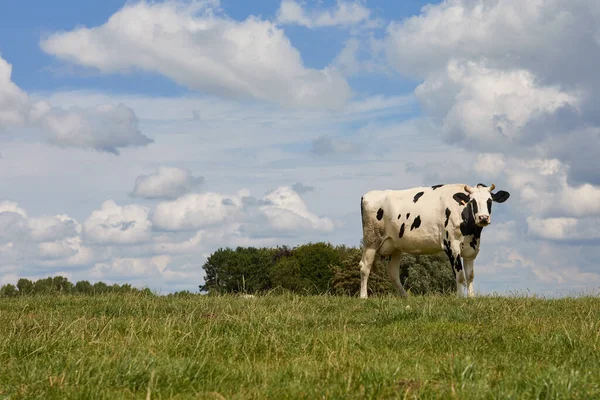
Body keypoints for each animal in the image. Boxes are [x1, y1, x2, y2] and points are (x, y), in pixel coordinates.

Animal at [358, 183, 508, 298]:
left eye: (490, 201)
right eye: (473, 201)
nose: (483, 218)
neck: (472, 231)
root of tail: (368, 195)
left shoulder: (471, 249)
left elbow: (470, 275)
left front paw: (471, 298)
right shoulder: (451, 246)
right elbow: (460, 275)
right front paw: (460, 298)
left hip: (394, 246)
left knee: (393, 273)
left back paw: (405, 296)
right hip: (371, 240)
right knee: (365, 266)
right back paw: (364, 296)